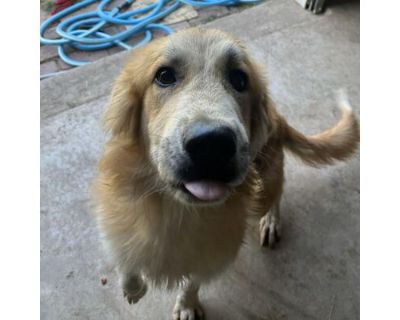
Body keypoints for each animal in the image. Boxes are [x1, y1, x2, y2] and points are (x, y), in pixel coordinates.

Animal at [90, 28, 360, 320]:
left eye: (240, 79)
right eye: (164, 76)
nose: (211, 144)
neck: (176, 209)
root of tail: (277, 116)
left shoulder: (214, 254)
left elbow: (192, 282)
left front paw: (186, 305)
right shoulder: (115, 221)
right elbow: (124, 259)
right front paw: (133, 288)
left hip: (264, 182)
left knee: (276, 192)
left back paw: (271, 220)